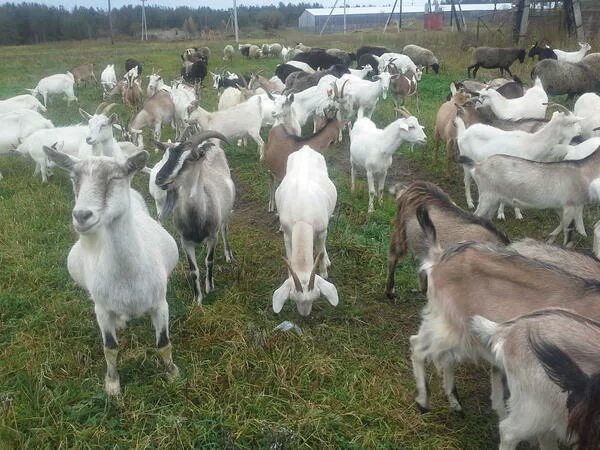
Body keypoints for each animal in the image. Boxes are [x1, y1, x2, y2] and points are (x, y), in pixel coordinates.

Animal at [42, 146, 178, 396]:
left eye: (115, 178)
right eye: (74, 179)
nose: (82, 216)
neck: (128, 275)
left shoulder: (160, 303)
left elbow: (163, 342)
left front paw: (173, 374)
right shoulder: (102, 310)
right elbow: (110, 348)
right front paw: (112, 385)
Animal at [155, 132, 234, 304]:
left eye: (191, 158)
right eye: (166, 155)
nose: (159, 178)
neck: (197, 219)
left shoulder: (212, 236)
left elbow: (209, 261)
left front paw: (209, 288)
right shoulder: (185, 241)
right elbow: (193, 270)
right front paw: (197, 299)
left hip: (224, 216)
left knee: (225, 231)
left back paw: (228, 255)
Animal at [272, 146, 338, 318]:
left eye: (316, 297)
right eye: (293, 298)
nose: (304, 315)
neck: (303, 212)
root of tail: (305, 148)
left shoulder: (321, 230)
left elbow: (320, 251)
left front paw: (324, 271)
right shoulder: (288, 234)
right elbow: (289, 256)